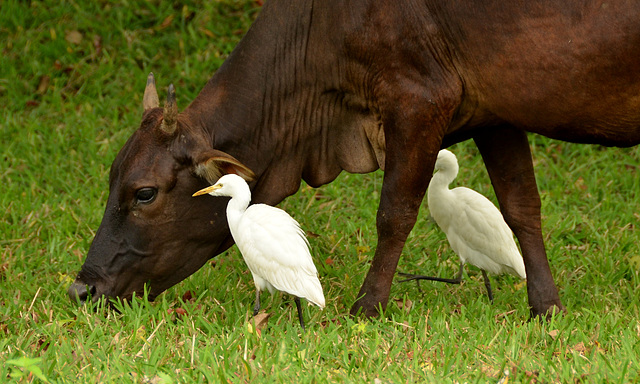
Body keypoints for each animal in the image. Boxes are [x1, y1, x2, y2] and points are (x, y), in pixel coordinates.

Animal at [69, 0, 640, 318]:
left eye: (144, 192)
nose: (83, 287)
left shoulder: (418, 100)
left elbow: (394, 213)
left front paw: (368, 306)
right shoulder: (496, 113)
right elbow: (522, 208)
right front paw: (546, 306)